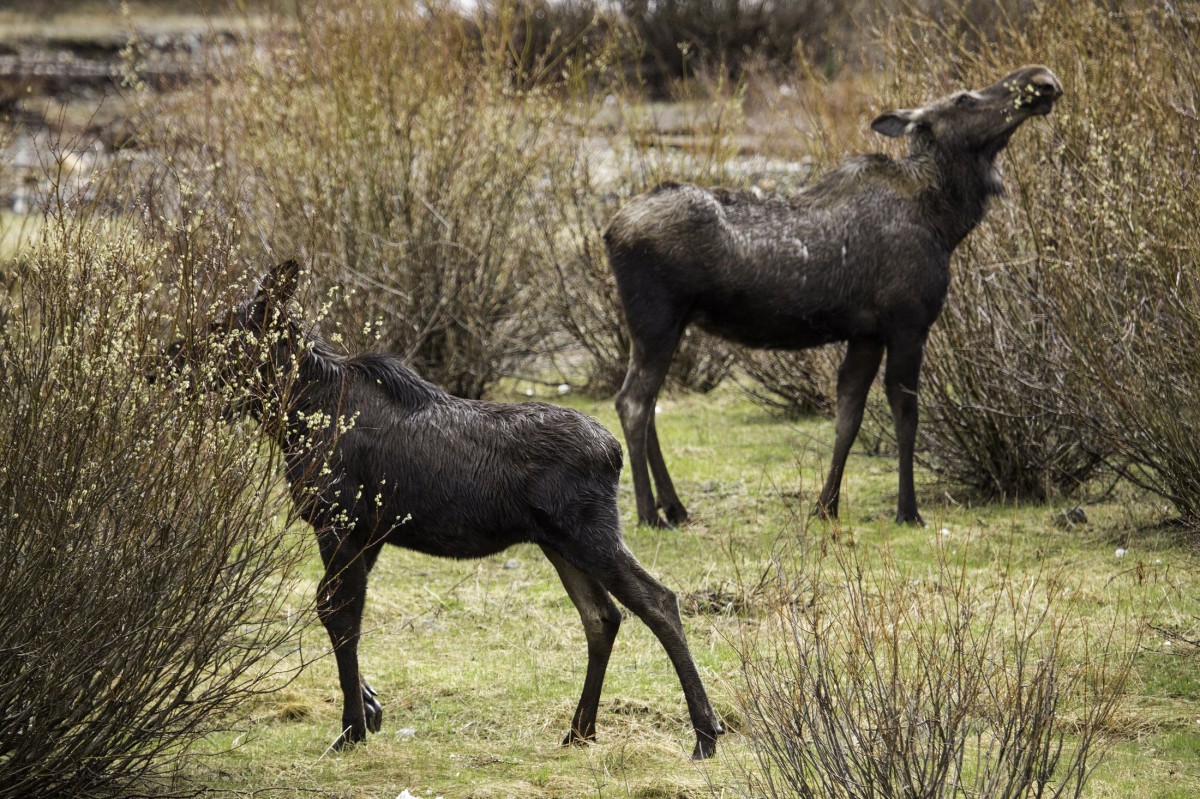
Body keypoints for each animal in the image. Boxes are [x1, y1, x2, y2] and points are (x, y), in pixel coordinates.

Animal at [171, 262, 720, 758]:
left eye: (220, 327)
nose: (164, 361)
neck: (292, 416)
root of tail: (613, 452)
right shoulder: (368, 533)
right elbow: (342, 611)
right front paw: (370, 707)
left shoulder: (340, 522)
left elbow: (337, 612)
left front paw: (351, 729)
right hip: (558, 543)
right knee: (601, 617)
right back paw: (580, 731)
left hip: (589, 534)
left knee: (658, 601)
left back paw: (704, 735)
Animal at [609, 65, 1060, 525]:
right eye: (964, 99)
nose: (1043, 79)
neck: (946, 221)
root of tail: (611, 231)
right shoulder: (907, 324)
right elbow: (906, 418)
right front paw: (907, 510)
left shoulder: (866, 334)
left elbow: (848, 417)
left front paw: (826, 506)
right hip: (656, 320)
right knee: (632, 403)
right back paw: (648, 512)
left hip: (663, 326)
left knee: (648, 405)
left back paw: (674, 506)